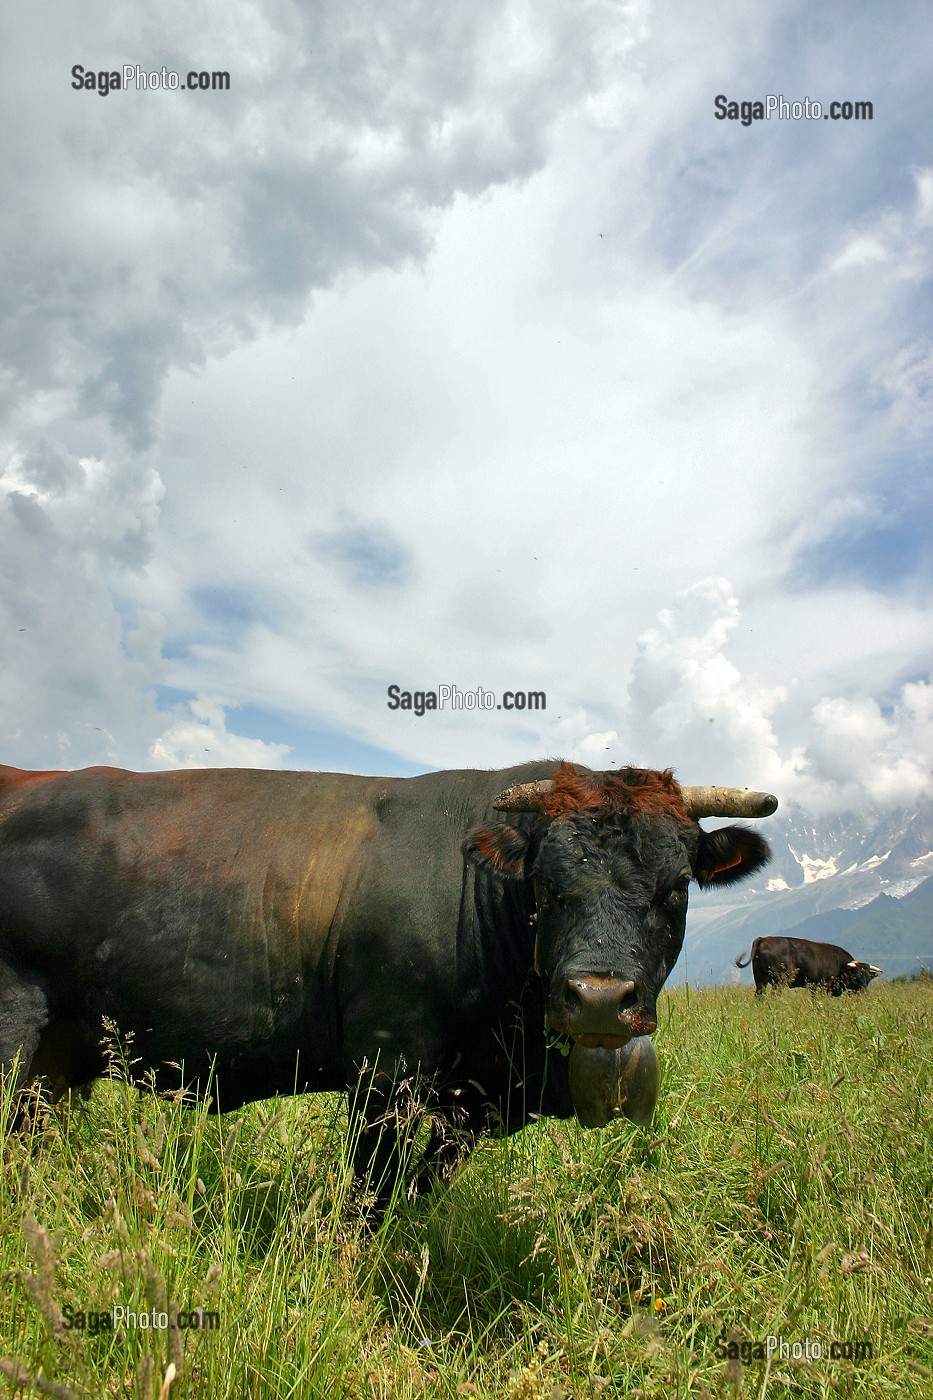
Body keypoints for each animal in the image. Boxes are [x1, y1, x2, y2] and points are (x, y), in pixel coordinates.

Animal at [0, 760, 776, 1205]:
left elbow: (415, 1193)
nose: (600, 1000)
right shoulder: (384, 1071)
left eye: (676, 887)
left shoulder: (468, 1102)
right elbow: (369, 1198)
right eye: (546, 886)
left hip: (57, 1062)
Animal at [736, 936, 881, 995]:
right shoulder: (822, 985)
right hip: (779, 981)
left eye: (868, 979)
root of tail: (763, 939)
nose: (863, 992)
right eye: (855, 977)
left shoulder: (814, 987)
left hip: (760, 980)